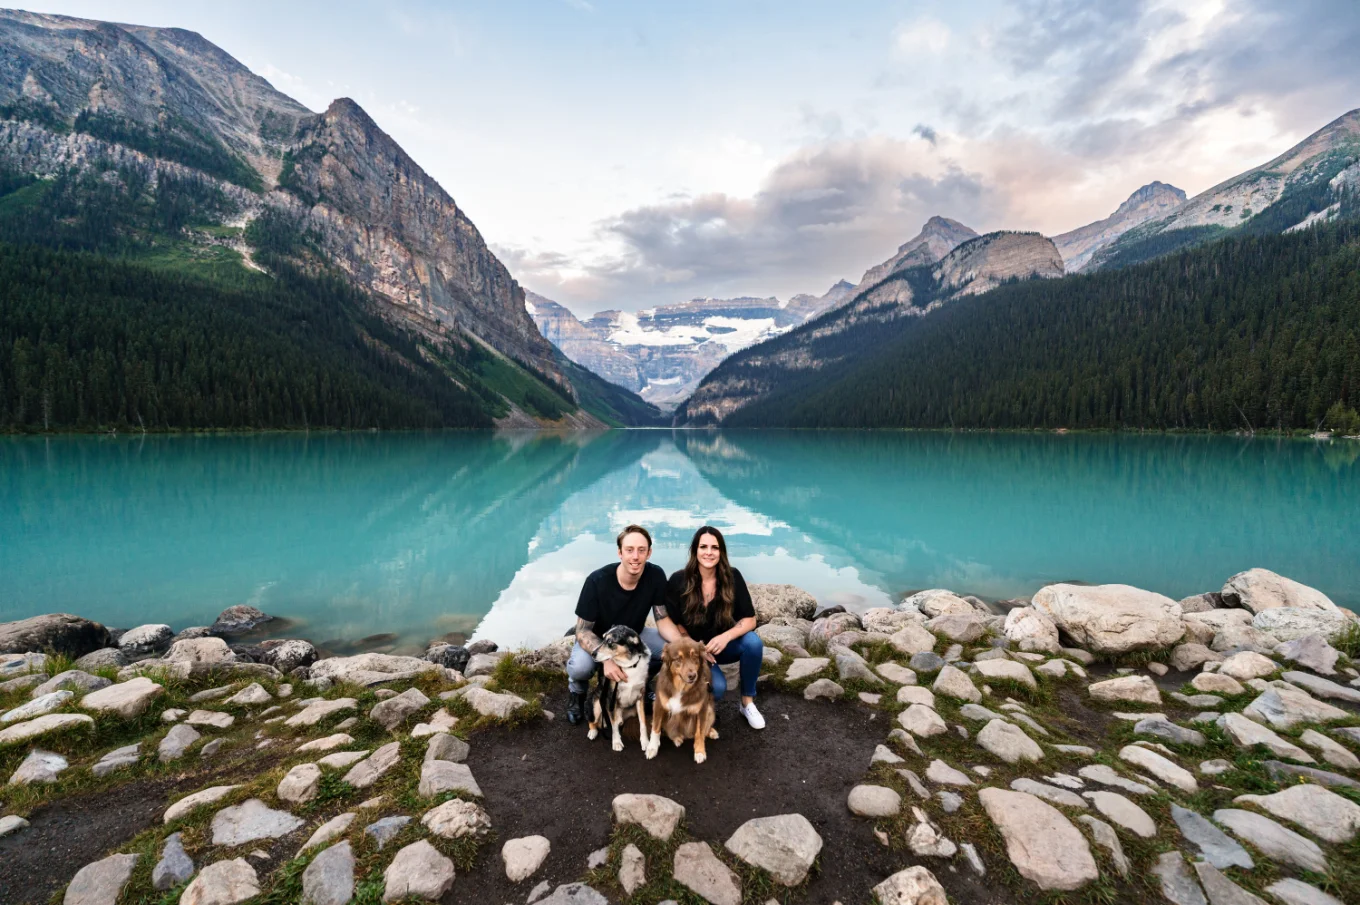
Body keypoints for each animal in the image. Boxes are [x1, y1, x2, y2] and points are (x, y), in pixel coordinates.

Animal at [647, 634, 723, 762]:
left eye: (694, 656)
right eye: (678, 659)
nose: (692, 676)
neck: (681, 687)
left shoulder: (702, 709)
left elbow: (699, 732)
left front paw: (700, 751)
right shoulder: (658, 705)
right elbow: (656, 728)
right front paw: (652, 748)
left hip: (710, 710)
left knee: (704, 729)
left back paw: (711, 732)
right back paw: (677, 738)